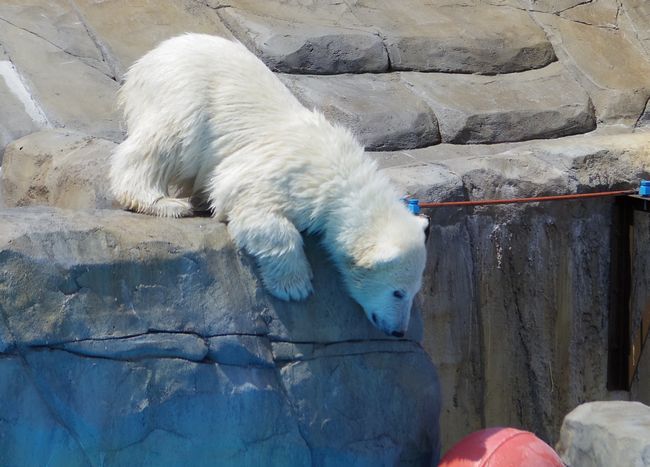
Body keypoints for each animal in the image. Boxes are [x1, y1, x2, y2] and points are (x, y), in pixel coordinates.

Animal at [109, 34, 428, 338]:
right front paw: (294, 286)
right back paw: (163, 202)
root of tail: (148, 59)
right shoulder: (287, 176)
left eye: (414, 292)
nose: (399, 331)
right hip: (184, 94)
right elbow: (253, 207)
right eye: (397, 292)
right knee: (167, 141)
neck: (343, 174)